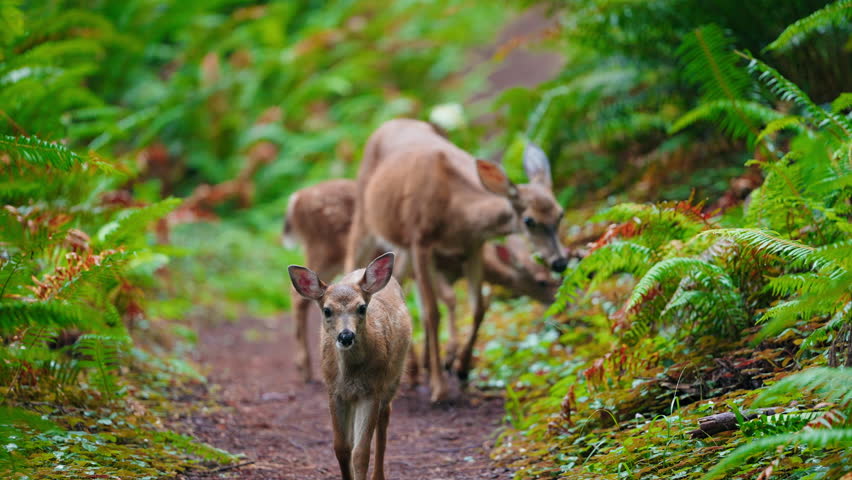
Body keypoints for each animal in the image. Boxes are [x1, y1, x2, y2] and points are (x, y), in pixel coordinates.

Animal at [283, 179, 558, 383]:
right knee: (297, 297)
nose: (556, 301)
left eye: (553, 279)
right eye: (542, 281)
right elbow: (445, 301)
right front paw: (444, 360)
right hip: (324, 249)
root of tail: (295, 200)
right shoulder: (430, 265)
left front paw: (427, 363)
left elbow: (427, 310)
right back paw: (305, 368)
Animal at [288, 252, 411, 480]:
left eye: (362, 308)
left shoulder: (372, 390)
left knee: (384, 421)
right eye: (327, 310)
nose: (346, 336)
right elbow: (342, 448)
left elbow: (361, 452)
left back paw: (378, 475)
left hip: (393, 378)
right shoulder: (334, 392)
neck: (350, 375)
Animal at [345, 118, 566, 403]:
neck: (455, 210)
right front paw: (439, 387)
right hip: (366, 218)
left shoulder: (472, 247)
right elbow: (432, 311)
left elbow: (477, 307)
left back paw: (414, 370)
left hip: (400, 249)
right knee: (352, 260)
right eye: (529, 220)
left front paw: (462, 369)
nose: (560, 262)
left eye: (560, 214)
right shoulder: (421, 240)